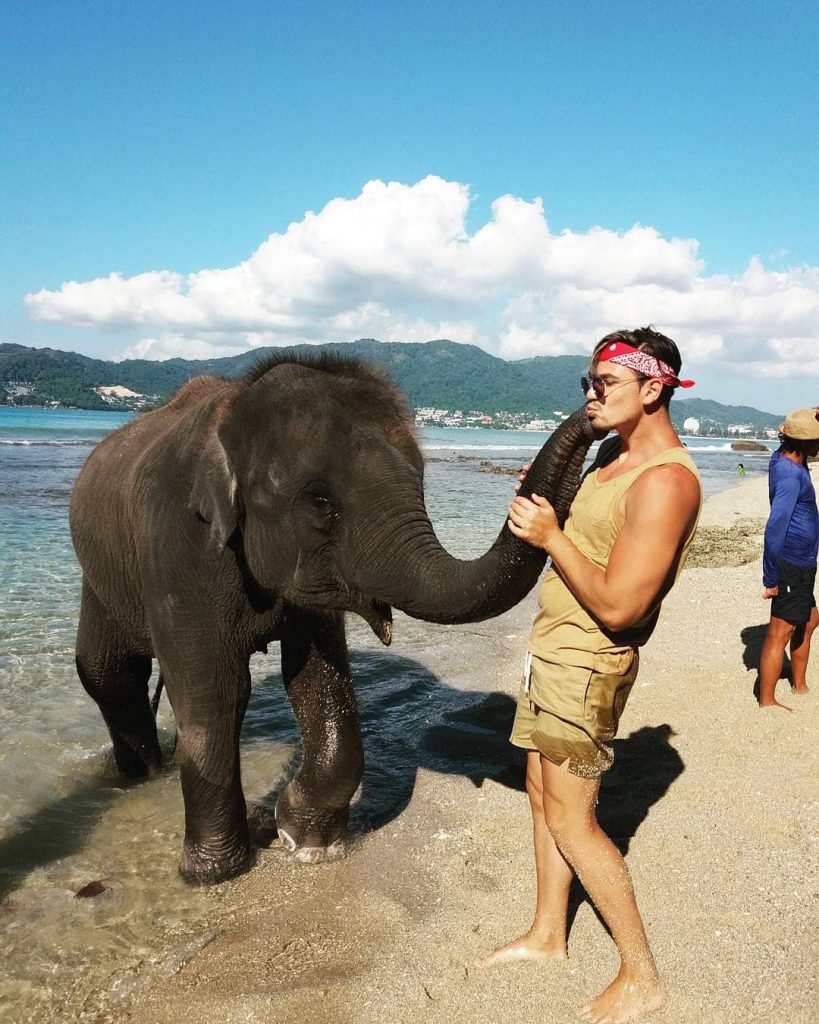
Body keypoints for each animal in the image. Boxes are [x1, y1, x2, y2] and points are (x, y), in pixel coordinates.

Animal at [70, 352, 601, 884]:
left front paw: (304, 840)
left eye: (421, 482)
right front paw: (212, 874)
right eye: (320, 502)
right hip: (101, 576)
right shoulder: (176, 549)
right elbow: (215, 690)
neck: (234, 409)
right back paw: (138, 776)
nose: (591, 398)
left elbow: (315, 677)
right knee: (108, 673)